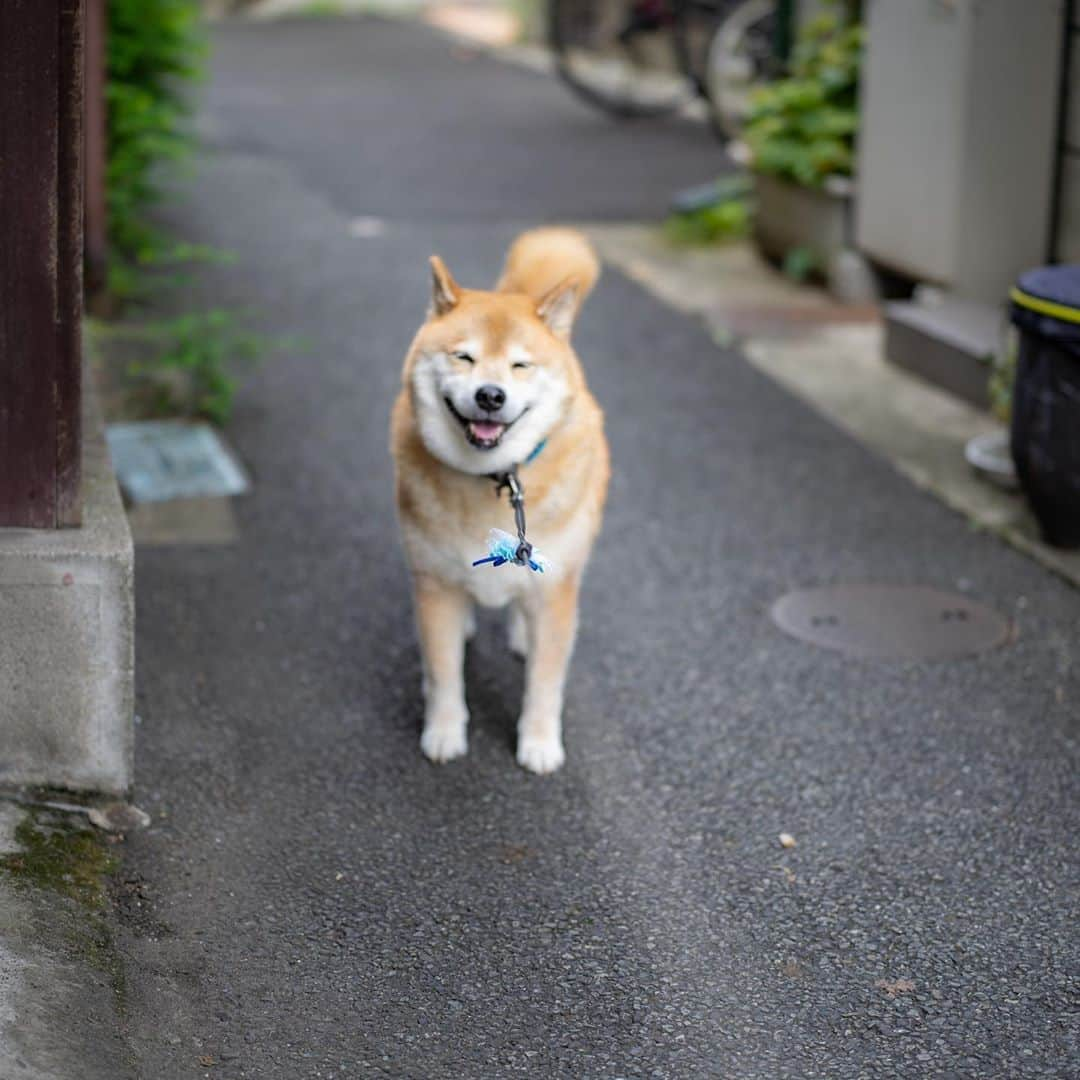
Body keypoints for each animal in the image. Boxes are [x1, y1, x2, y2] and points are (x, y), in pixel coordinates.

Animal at [390, 227, 613, 773]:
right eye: (463, 357)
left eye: (520, 365)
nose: (491, 395)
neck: (495, 479)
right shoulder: (433, 585)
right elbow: (444, 675)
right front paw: (443, 733)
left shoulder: (555, 596)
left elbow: (545, 683)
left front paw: (539, 742)